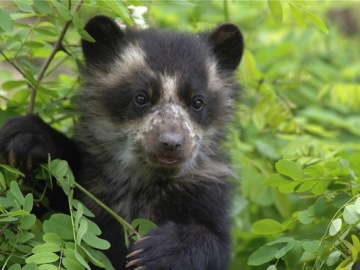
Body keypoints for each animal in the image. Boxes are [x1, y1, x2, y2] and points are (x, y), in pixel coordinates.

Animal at [0, 15, 243, 270]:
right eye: (141, 98)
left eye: (197, 102)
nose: (171, 143)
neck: (141, 182)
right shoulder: (90, 182)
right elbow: (43, 207)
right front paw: (26, 137)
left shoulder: (204, 189)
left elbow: (215, 242)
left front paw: (157, 251)